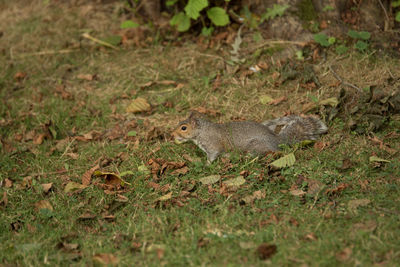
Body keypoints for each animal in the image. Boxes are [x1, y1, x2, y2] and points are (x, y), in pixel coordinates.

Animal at [173, 111, 328, 163]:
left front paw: (207, 164)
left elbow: (213, 155)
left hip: (256, 146)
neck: (201, 131)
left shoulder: (213, 145)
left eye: (183, 128)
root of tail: (277, 141)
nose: (171, 134)